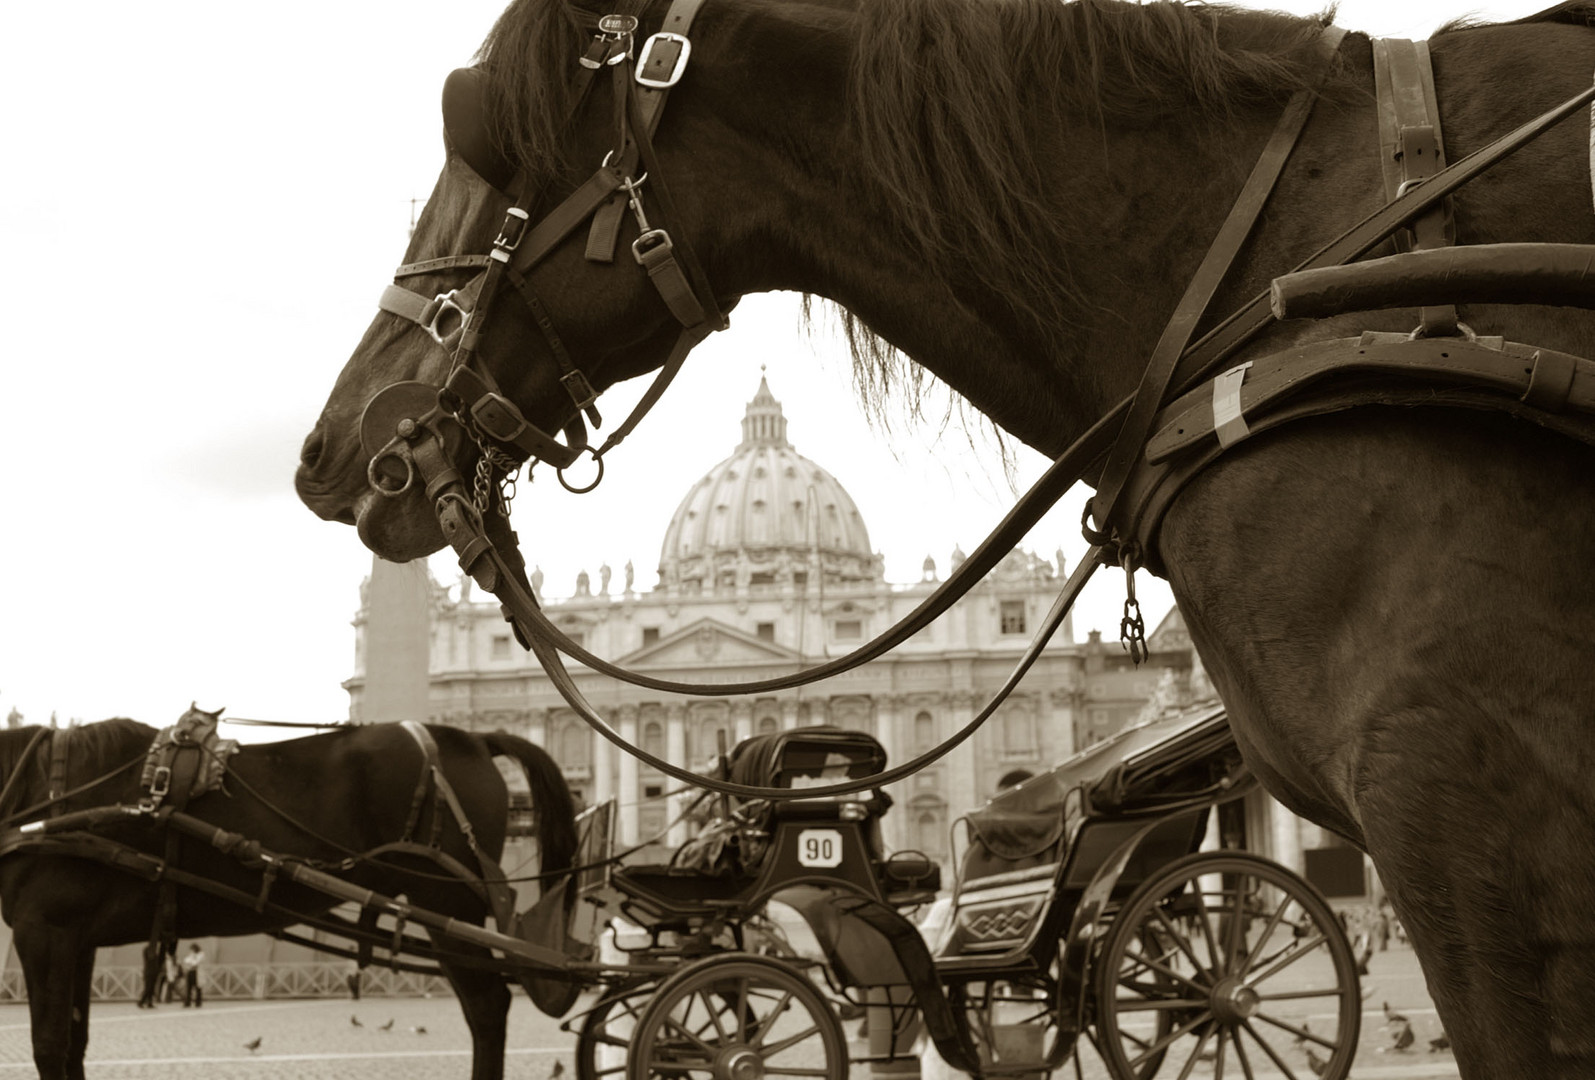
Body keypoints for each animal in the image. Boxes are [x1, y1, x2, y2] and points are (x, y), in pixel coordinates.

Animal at [0, 714, 577, 1078]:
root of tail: (476, 738)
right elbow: (74, 1044)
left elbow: (48, 1045)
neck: (45, 793)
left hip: (449, 905)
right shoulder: (76, 940)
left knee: (487, 1009)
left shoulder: (44, 932)